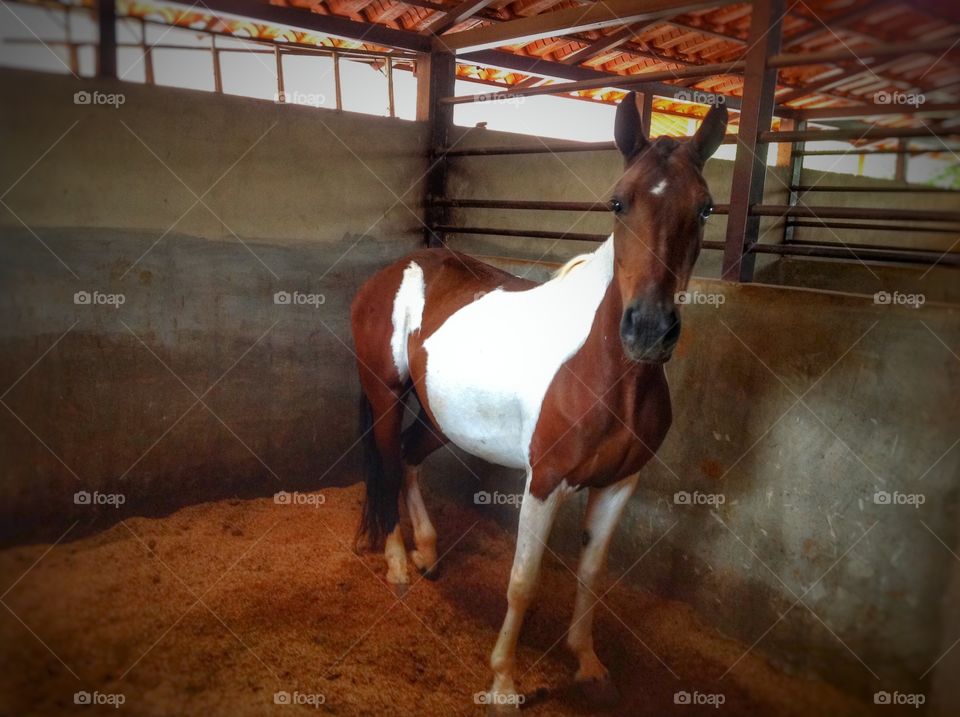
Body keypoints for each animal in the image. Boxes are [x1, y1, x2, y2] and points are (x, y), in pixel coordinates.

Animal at [349, 92, 727, 713]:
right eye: (618, 202)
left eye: (705, 208)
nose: (649, 330)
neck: (607, 373)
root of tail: (394, 271)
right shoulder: (545, 482)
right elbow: (523, 583)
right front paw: (504, 681)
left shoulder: (619, 485)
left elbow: (591, 576)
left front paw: (589, 665)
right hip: (385, 395)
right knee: (383, 464)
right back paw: (399, 564)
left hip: (439, 418)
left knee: (405, 459)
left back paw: (428, 554)